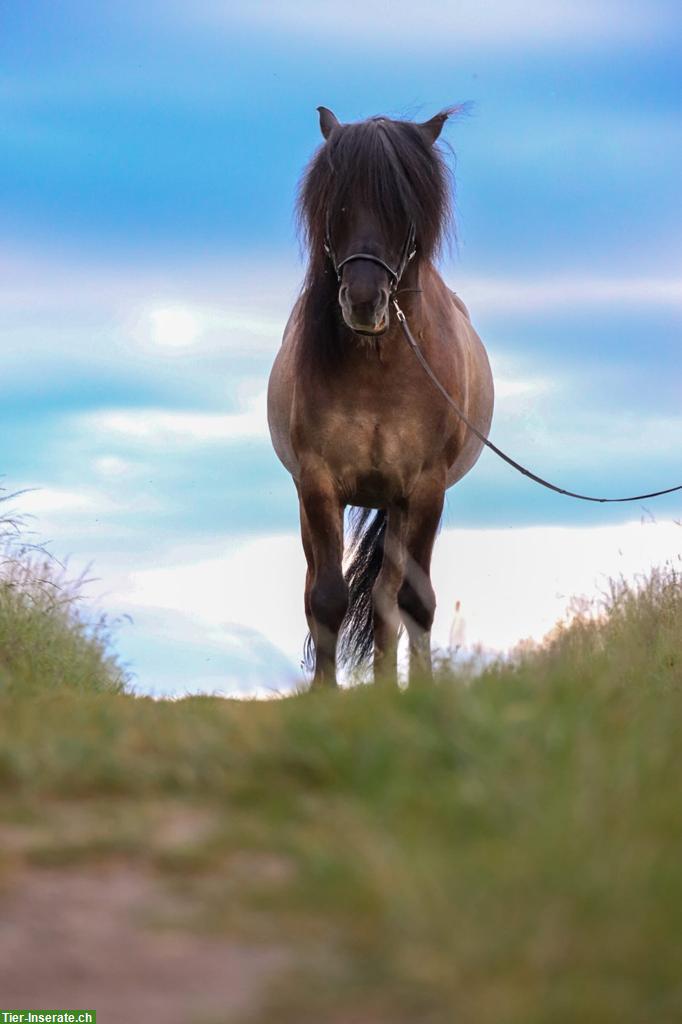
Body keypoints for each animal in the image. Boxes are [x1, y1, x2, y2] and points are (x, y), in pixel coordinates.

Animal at [266, 105, 493, 688]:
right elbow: (326, 598)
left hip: (396, 508)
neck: (378, 370)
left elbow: (413, 601)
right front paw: (324, 695)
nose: (365, 300)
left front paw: (418, 692)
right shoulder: (319, 484)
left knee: (387, 595)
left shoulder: (424, 490)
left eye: (404, 208)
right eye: (337, 200)